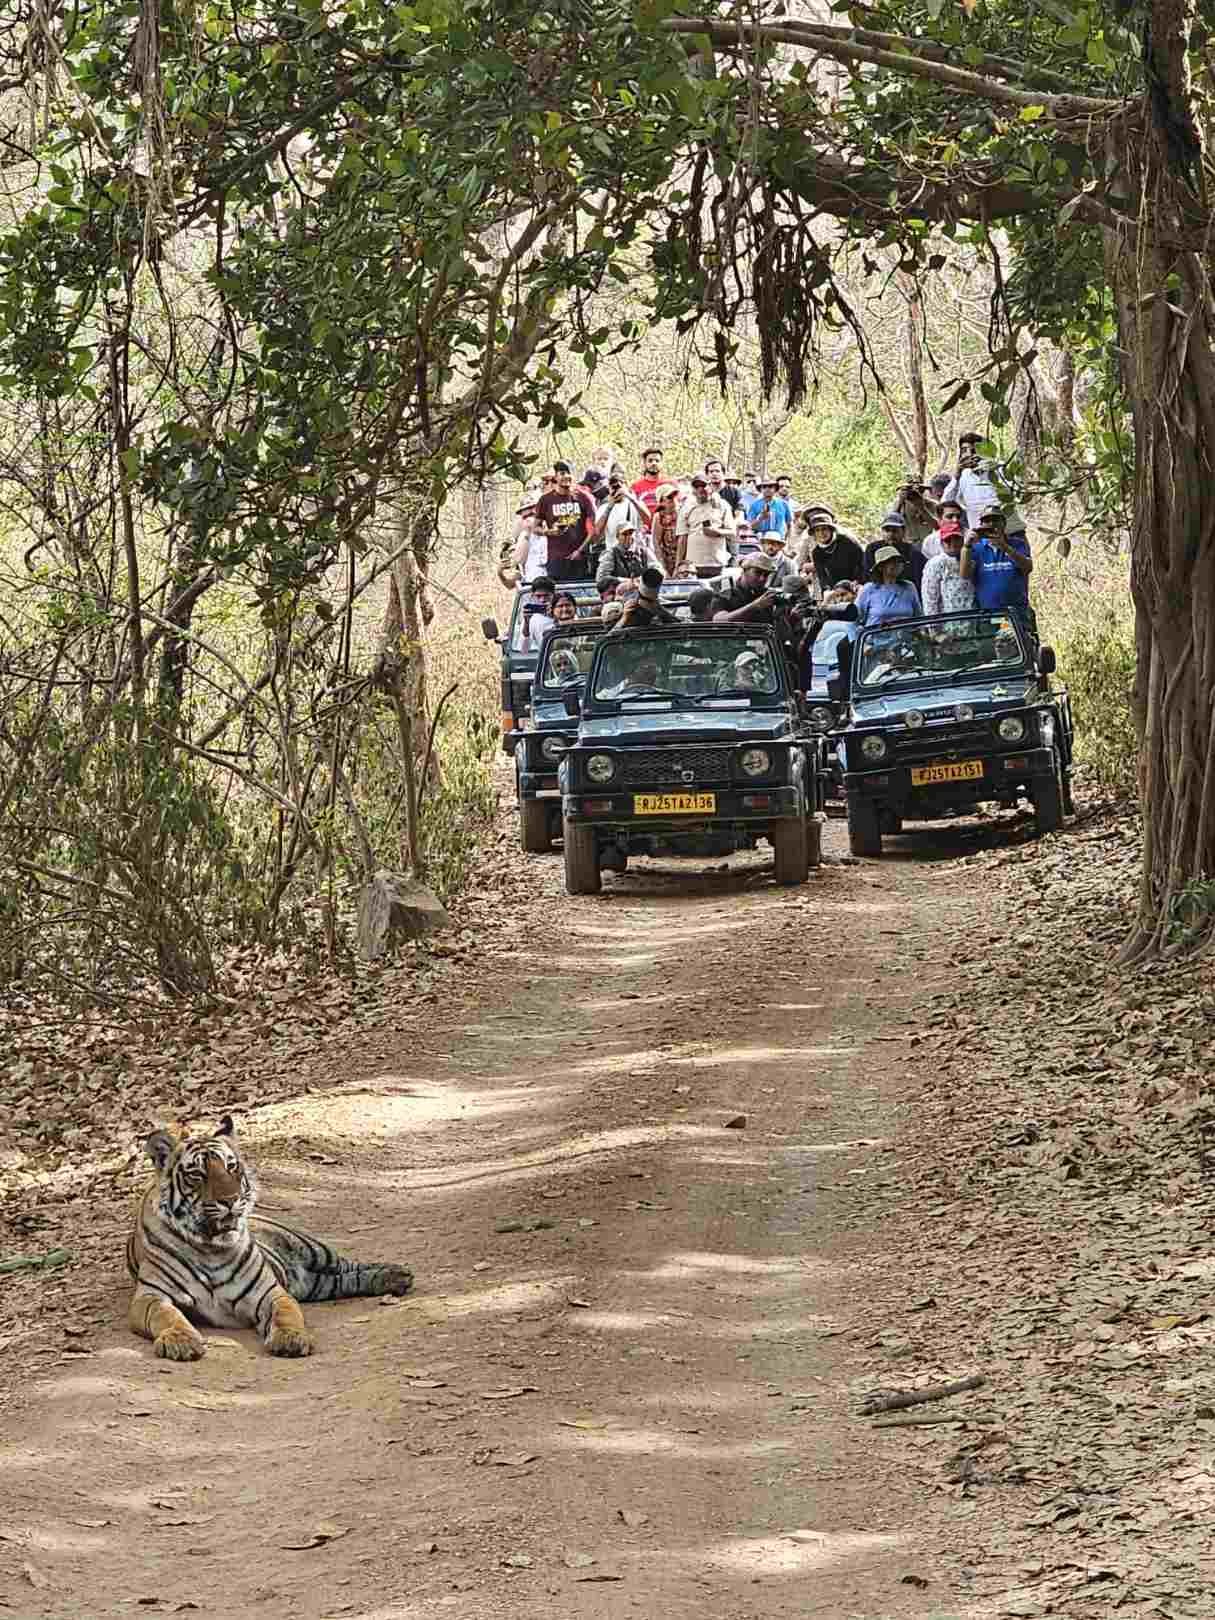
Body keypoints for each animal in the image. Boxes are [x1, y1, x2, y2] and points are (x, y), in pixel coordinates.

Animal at [126, 1115, 414, 1361]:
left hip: (314, 1249)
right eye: (197, 1174)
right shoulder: (151, 1296)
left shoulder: (270, 1292)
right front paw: (180, 1340)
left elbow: (286, 1314)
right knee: (343, 1281)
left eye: (232, 1167)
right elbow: (166, 1315)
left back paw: (397, 1275)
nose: (231, 1201)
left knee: (348, 1265)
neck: (210, 1248)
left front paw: (291, 1339)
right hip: (315, 1284)